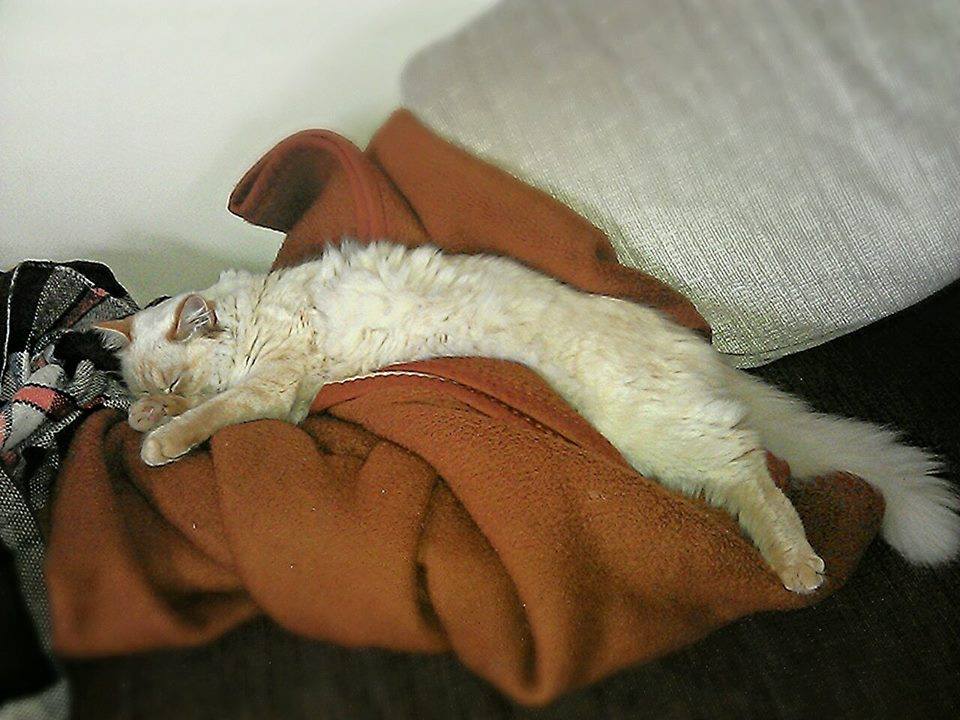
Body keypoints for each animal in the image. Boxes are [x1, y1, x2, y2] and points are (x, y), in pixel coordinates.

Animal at [94, 239, 960, 594]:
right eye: (158, 378)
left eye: (180, 376)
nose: (159, 399)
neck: (259, 307)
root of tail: (701, 349)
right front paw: (139, 414)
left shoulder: (274, 389)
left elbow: (217, 414)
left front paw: (161, 438)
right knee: (750, 476)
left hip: (659, 433)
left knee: (761, 479)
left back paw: (799, 567)